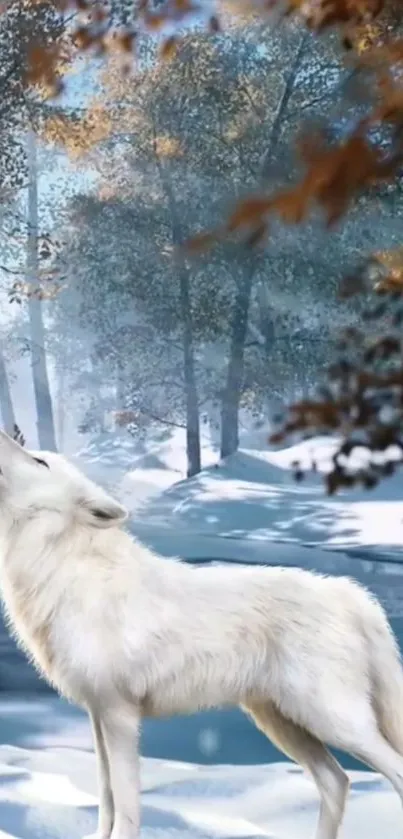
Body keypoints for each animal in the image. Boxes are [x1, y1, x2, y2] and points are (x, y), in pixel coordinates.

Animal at [0, 434, 402, 839]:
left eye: (40, 461)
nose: (6, 433)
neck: (63, 566)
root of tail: (351, 594)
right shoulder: (97, 714)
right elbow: (106, 798)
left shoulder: (119, 714)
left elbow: (126, 803)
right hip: (283, 723)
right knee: (336, 781)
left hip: (330, 721)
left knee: (387, 771)